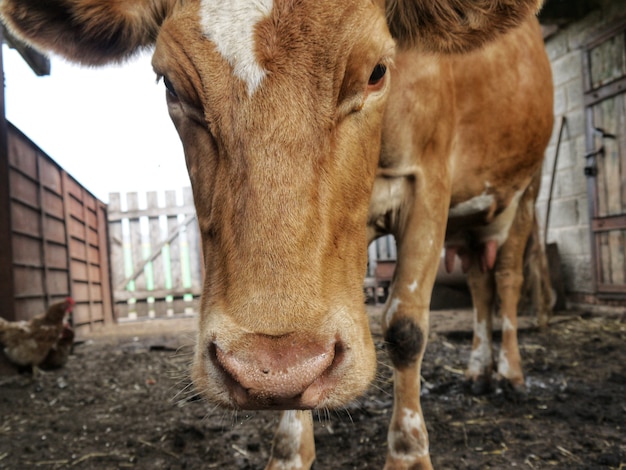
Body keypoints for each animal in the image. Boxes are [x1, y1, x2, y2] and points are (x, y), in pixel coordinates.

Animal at [1, 1, 552, 468]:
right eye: (171, 86)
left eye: (377, 71)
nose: (266, 367)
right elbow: (294, 391)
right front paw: (289, 451)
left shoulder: (428, 186)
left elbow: (406, 330)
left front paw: (409, 454)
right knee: (479, 283)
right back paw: (478, 370)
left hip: (525, 189)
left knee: (506, 279)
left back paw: (511, 374)